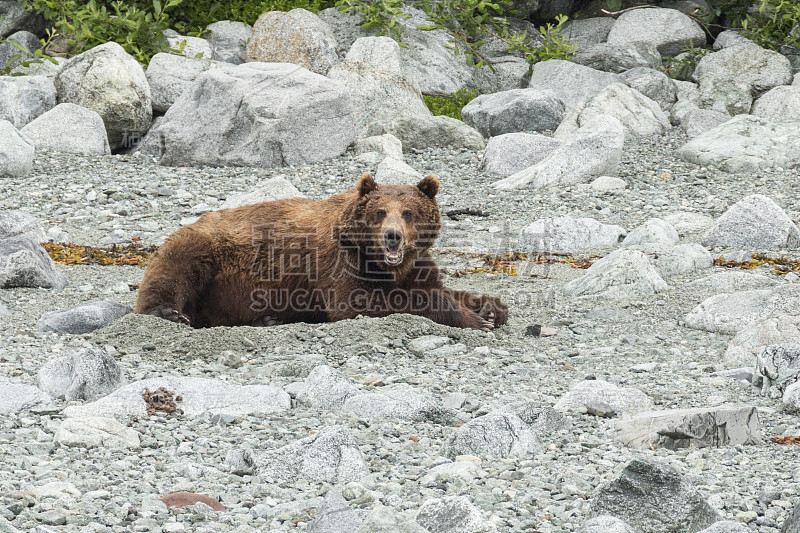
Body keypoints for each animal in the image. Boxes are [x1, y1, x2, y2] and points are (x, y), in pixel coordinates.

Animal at [131, 175, 506, 328]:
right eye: (379, 212)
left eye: (409, 212)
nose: (393, 237)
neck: (382, 264)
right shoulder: (335, 261)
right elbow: (361, 301)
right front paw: (473, 318)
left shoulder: (414, 266)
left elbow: (436, 287)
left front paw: (489, 307)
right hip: (203, 248)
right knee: (175, 271)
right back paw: (168, 312)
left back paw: (268, 319)